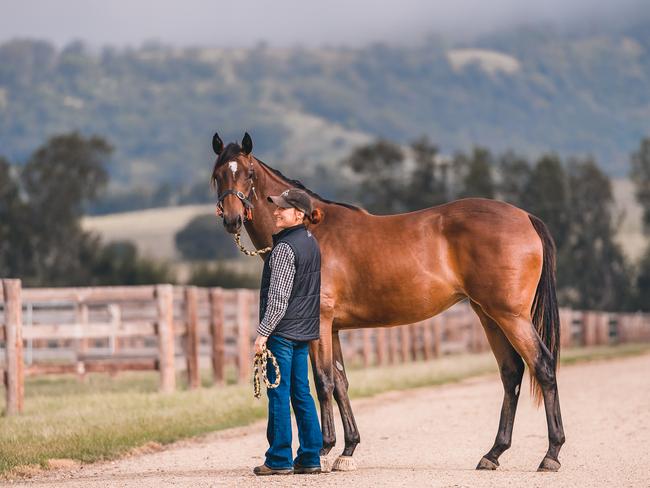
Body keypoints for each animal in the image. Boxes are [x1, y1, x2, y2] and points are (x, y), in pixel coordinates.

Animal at [211, 132, 560, 470]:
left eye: (248, 174)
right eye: (218, 175)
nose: (231, 219)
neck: (311, 229)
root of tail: (526, 217)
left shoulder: (319, 323)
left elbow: (323, 382)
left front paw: (323, 451)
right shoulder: (333, 329)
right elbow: (341, 383)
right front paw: (348, 449)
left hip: (511, 316)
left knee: (542, 366)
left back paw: (551, 455)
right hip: (489, 315)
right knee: (511, 373)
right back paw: (494, 454)